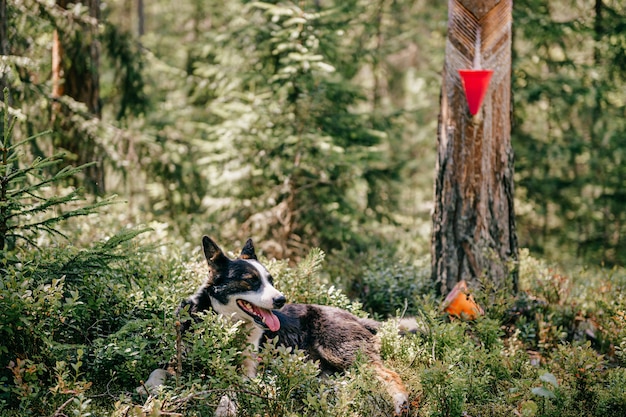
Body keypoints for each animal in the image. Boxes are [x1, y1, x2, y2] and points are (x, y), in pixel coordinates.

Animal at [150, 236, 410, 414]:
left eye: (271, 280)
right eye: (250, 281)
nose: (281, 300)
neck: (226, 327)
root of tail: (356, 317)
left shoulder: (247, 375)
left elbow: (229, 391)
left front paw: (224, 409)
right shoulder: (177, 359)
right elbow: (155, 374)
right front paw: (152, 396)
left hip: (343, 351)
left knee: (387, 373)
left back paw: (400, 401)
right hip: (327, 371)